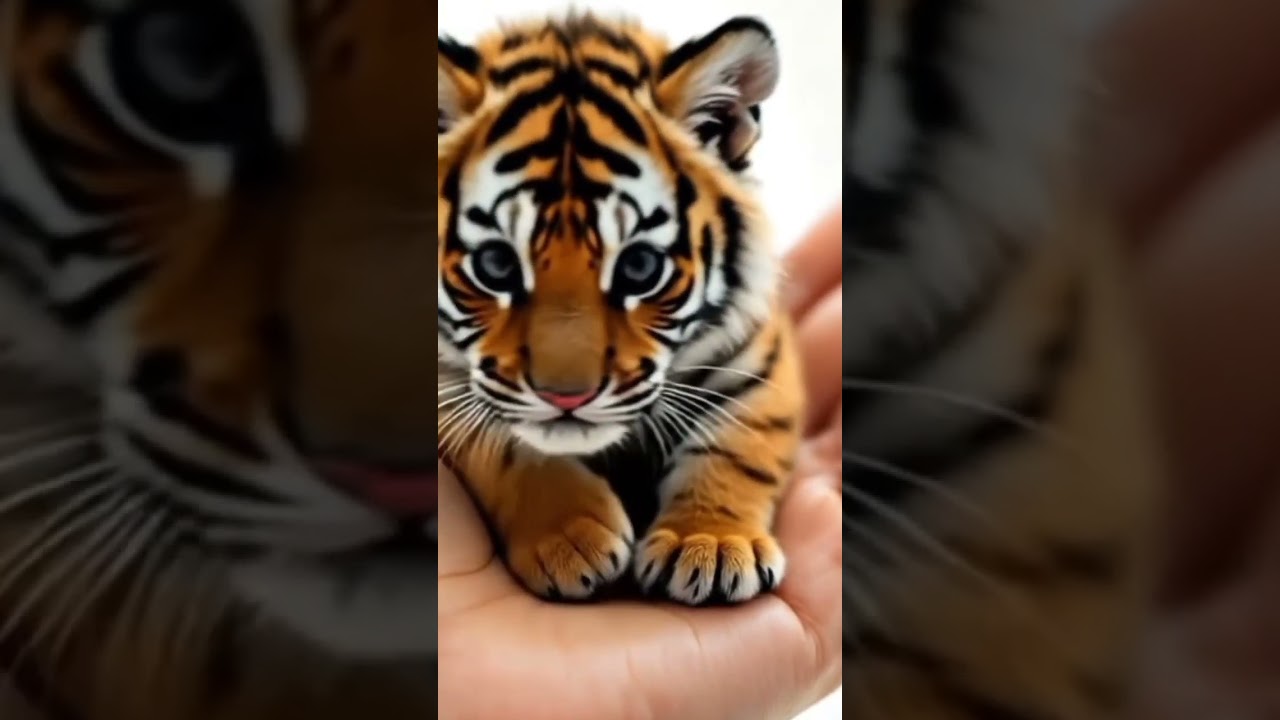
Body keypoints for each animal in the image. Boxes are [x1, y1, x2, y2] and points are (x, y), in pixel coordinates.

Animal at [437, 13, 804, 608]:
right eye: (495, 264)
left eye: (639, 268)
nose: (568, 398)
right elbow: (506, 446)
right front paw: (569, 537)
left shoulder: (760, 355)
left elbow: (738, 444)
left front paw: (710, 543)